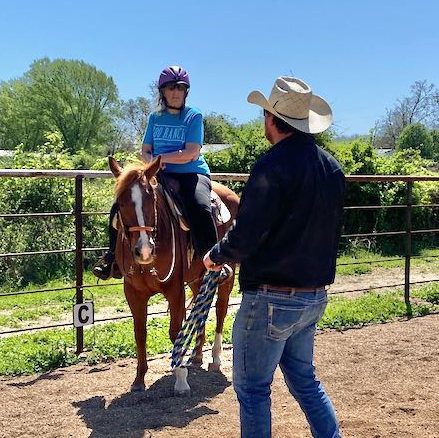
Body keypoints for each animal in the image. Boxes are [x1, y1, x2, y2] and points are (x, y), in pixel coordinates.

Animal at [110, 157, 241, 394]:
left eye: (150, 199)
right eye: (121, 203)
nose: (144, 250)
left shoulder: (175, 290)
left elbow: (175, 332)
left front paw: (181, 379)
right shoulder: (133, 292)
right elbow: (140, 333)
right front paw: (139, 379)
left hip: (229, 270)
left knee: (221, 309)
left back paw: (215, 358)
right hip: (198, 276)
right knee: (201, 307)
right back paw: (196, 356)